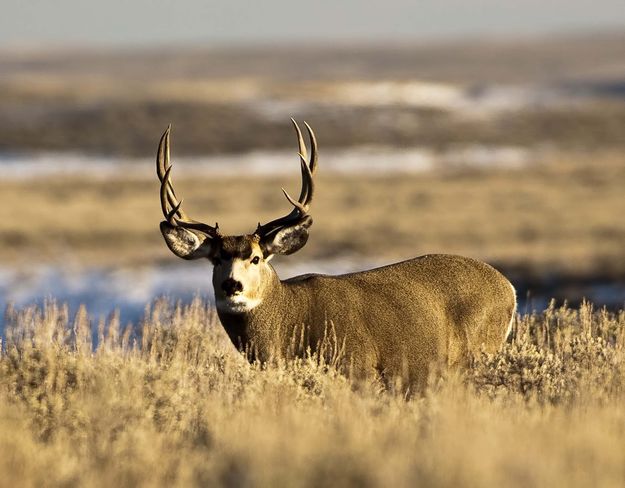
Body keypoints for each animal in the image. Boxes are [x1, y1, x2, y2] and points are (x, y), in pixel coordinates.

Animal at [157, 119, 516, 388]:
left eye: (255, 258)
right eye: (217, 259)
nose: (232, 285)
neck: (289, 323)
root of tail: (508, 287)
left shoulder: (359, 366)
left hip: (478, 350)